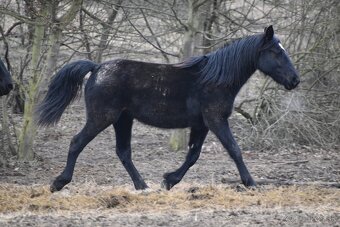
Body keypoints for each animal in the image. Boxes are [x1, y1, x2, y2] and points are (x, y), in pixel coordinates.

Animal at [36, 25, 300, 192]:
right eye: (275, 52)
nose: (295, 80)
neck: (215, 79)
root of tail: (97, 67)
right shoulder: (215, 120)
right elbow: (234, 150)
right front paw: (251, 183)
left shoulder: (201, 125)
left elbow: (193, 155)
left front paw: (169, 180)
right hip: (101, 118)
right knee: (77, 143)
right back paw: (58, 183)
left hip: (123, 120)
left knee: (123, 152)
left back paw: (143, 187)